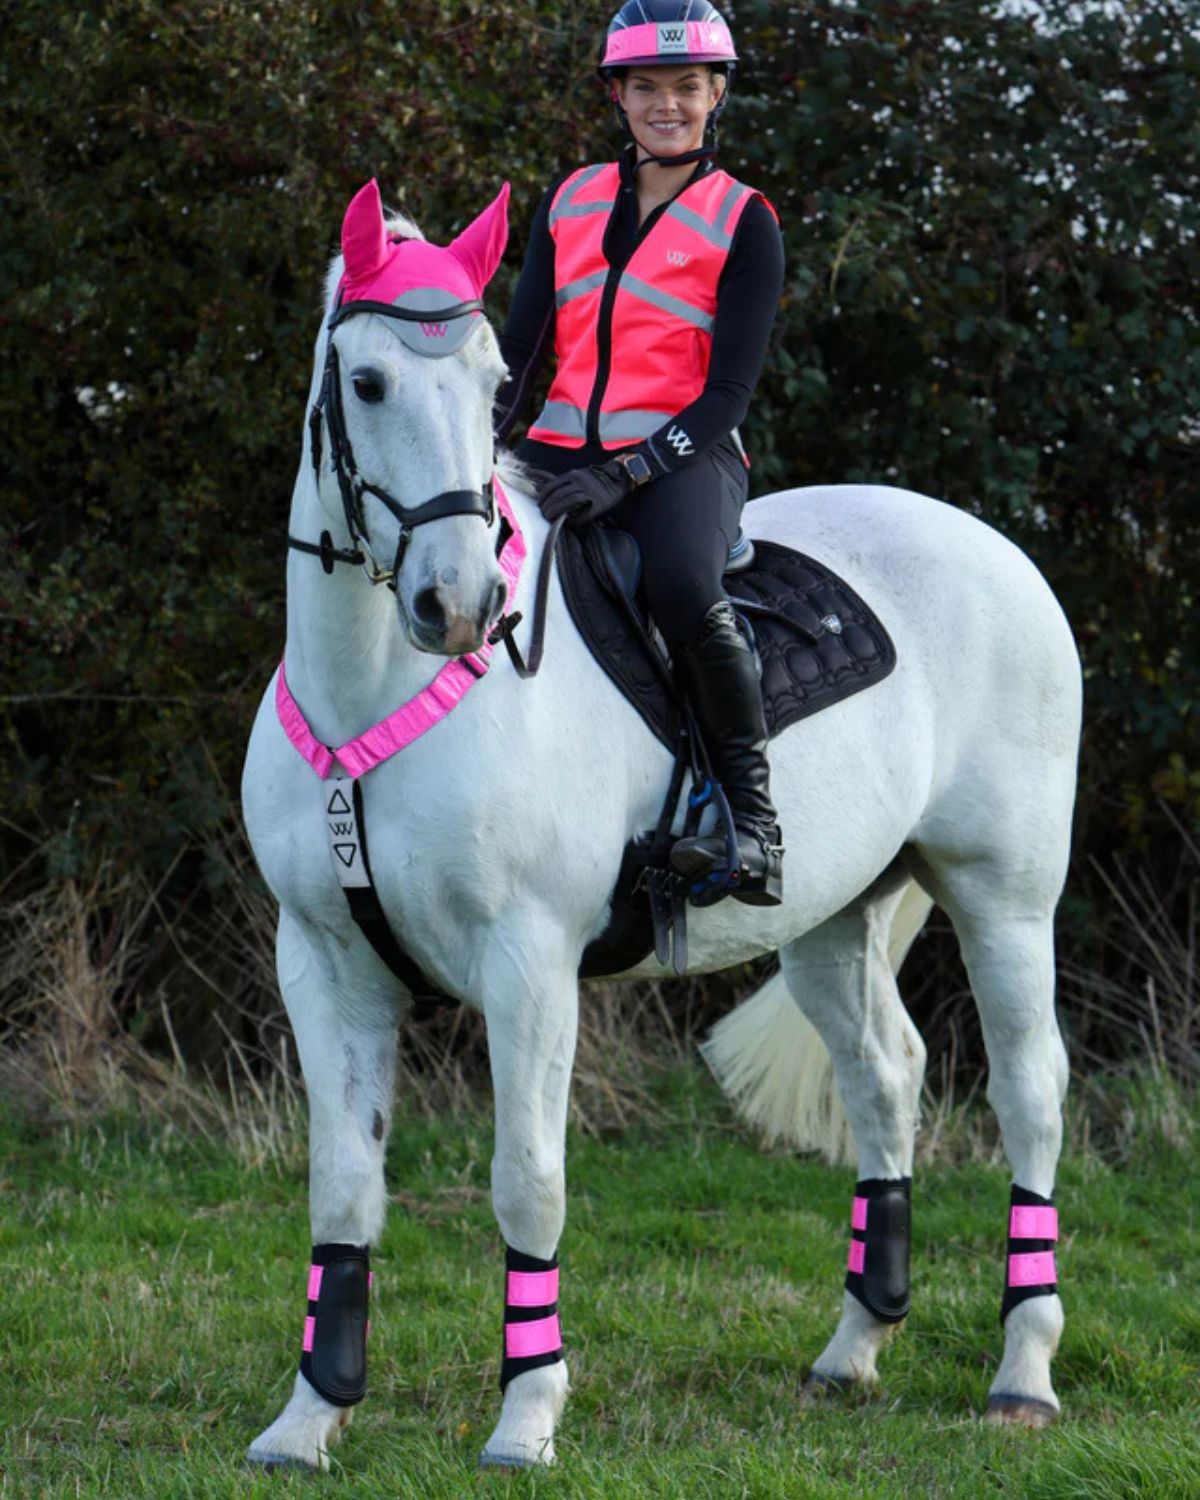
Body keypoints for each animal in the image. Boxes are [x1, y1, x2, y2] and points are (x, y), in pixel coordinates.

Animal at [240, 178, 1081, 1471]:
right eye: (369, 382)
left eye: (491, 382)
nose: (462, 604)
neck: (373, 696)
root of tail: (991, 544)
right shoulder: (324, 963)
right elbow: (341, 1187)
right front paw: (309, 1416)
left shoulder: (530, 965)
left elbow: (528, 1181)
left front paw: (526, 1418)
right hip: (835, 919)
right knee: (885, 1079)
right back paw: (851, 1352)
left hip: (1005, 897)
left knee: (1030, 1093)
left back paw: (1023, 1373)